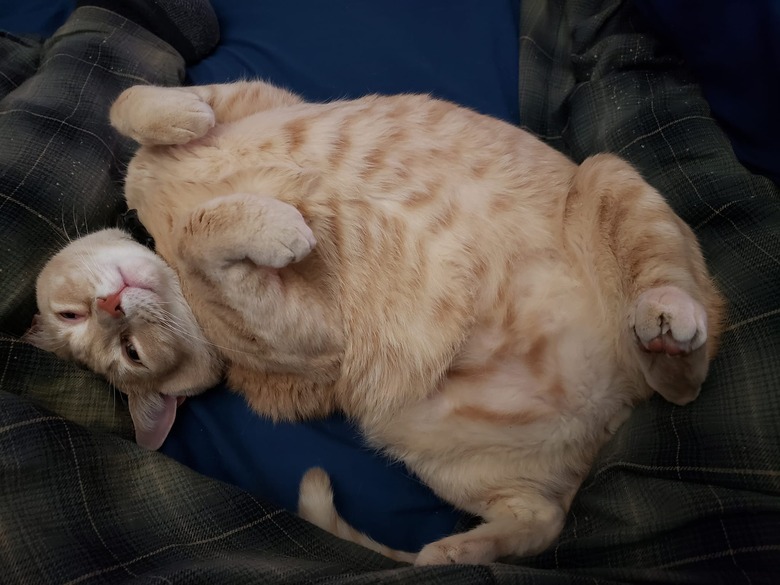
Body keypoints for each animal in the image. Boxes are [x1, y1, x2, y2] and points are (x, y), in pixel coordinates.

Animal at [29, 80, 724, 564]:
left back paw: (665, 315)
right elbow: (209, 240)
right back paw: (452, 554)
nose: (112, 310)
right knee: (540, 522)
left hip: (606, 172)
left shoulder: (253, 96)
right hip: (432, 447)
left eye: (75, 316)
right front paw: (275, 225)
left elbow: (133, 103)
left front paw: (183, 119)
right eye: (128, 356)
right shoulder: (305, 339)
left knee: (682, 338)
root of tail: (608, 404)